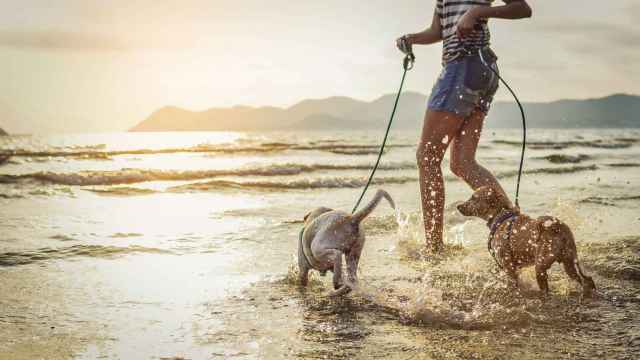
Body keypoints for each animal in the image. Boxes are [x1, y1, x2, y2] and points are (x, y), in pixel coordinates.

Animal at [458, 187, 592, 296]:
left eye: (473, 198)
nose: (458, 206)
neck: (501, 216)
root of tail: (557, 228)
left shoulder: (509, 267)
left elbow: (515, 284)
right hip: (570, 262)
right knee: (585, 280)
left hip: (541, 266)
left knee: (546, 287)